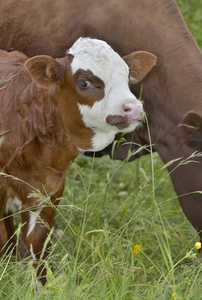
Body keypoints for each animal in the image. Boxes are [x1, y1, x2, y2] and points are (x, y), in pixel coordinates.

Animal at [0, 37, 157, 284]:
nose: (134, 108)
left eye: (127, 77)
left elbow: (38, 244)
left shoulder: (50, 189)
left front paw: (40, 287)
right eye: (84, 83)